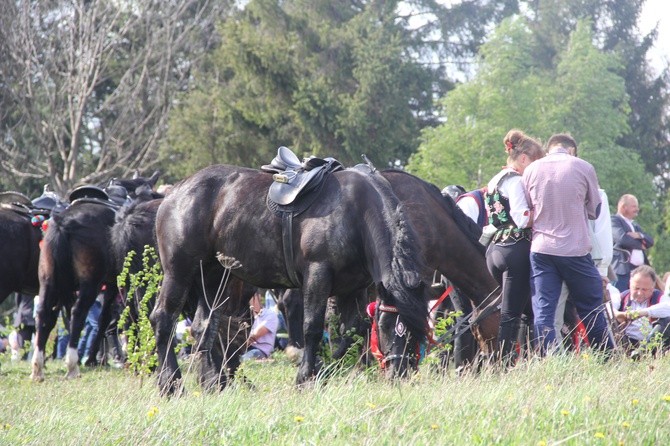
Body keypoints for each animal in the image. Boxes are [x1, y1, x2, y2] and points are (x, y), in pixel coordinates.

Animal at [32, 172, 162, 382]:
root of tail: (63, 223)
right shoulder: (120, 284)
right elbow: (115, 317)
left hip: (48, 281)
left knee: (44, 313)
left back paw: (38, 367)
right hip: (89, 284)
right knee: (78, 313)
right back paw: (72, 364)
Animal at [152, 163, 428, 394]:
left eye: (419, 332)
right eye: (389, 325)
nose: (401, 374)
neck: (357, 213)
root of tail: (175, 193)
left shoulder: (354, 289)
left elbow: (351, 331)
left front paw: (328, 369)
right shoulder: (317, 275)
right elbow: (312, 328)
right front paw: (305, 377)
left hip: (213, 277)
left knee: (204, 326)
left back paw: (214, 382)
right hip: (180, 272)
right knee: (163, 319)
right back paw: (171, 385)